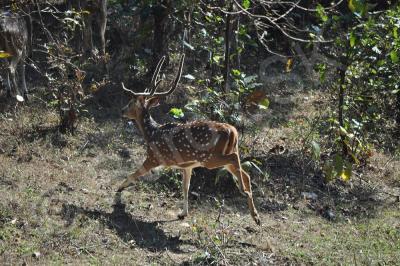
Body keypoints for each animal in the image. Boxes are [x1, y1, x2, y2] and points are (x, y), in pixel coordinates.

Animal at [118, 55, 262, 225]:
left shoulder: (154, 157)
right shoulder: (187, 166)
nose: (122, 111)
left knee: (235, 161)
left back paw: (243, 192)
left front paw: (119, 190)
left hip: (209, 158)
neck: (151, 133)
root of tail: (232, 131)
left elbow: (134, 173)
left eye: (131, 102)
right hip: (226, 153)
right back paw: (256, 216)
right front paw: (183, 213)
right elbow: (185, 187)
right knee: (245, 173)